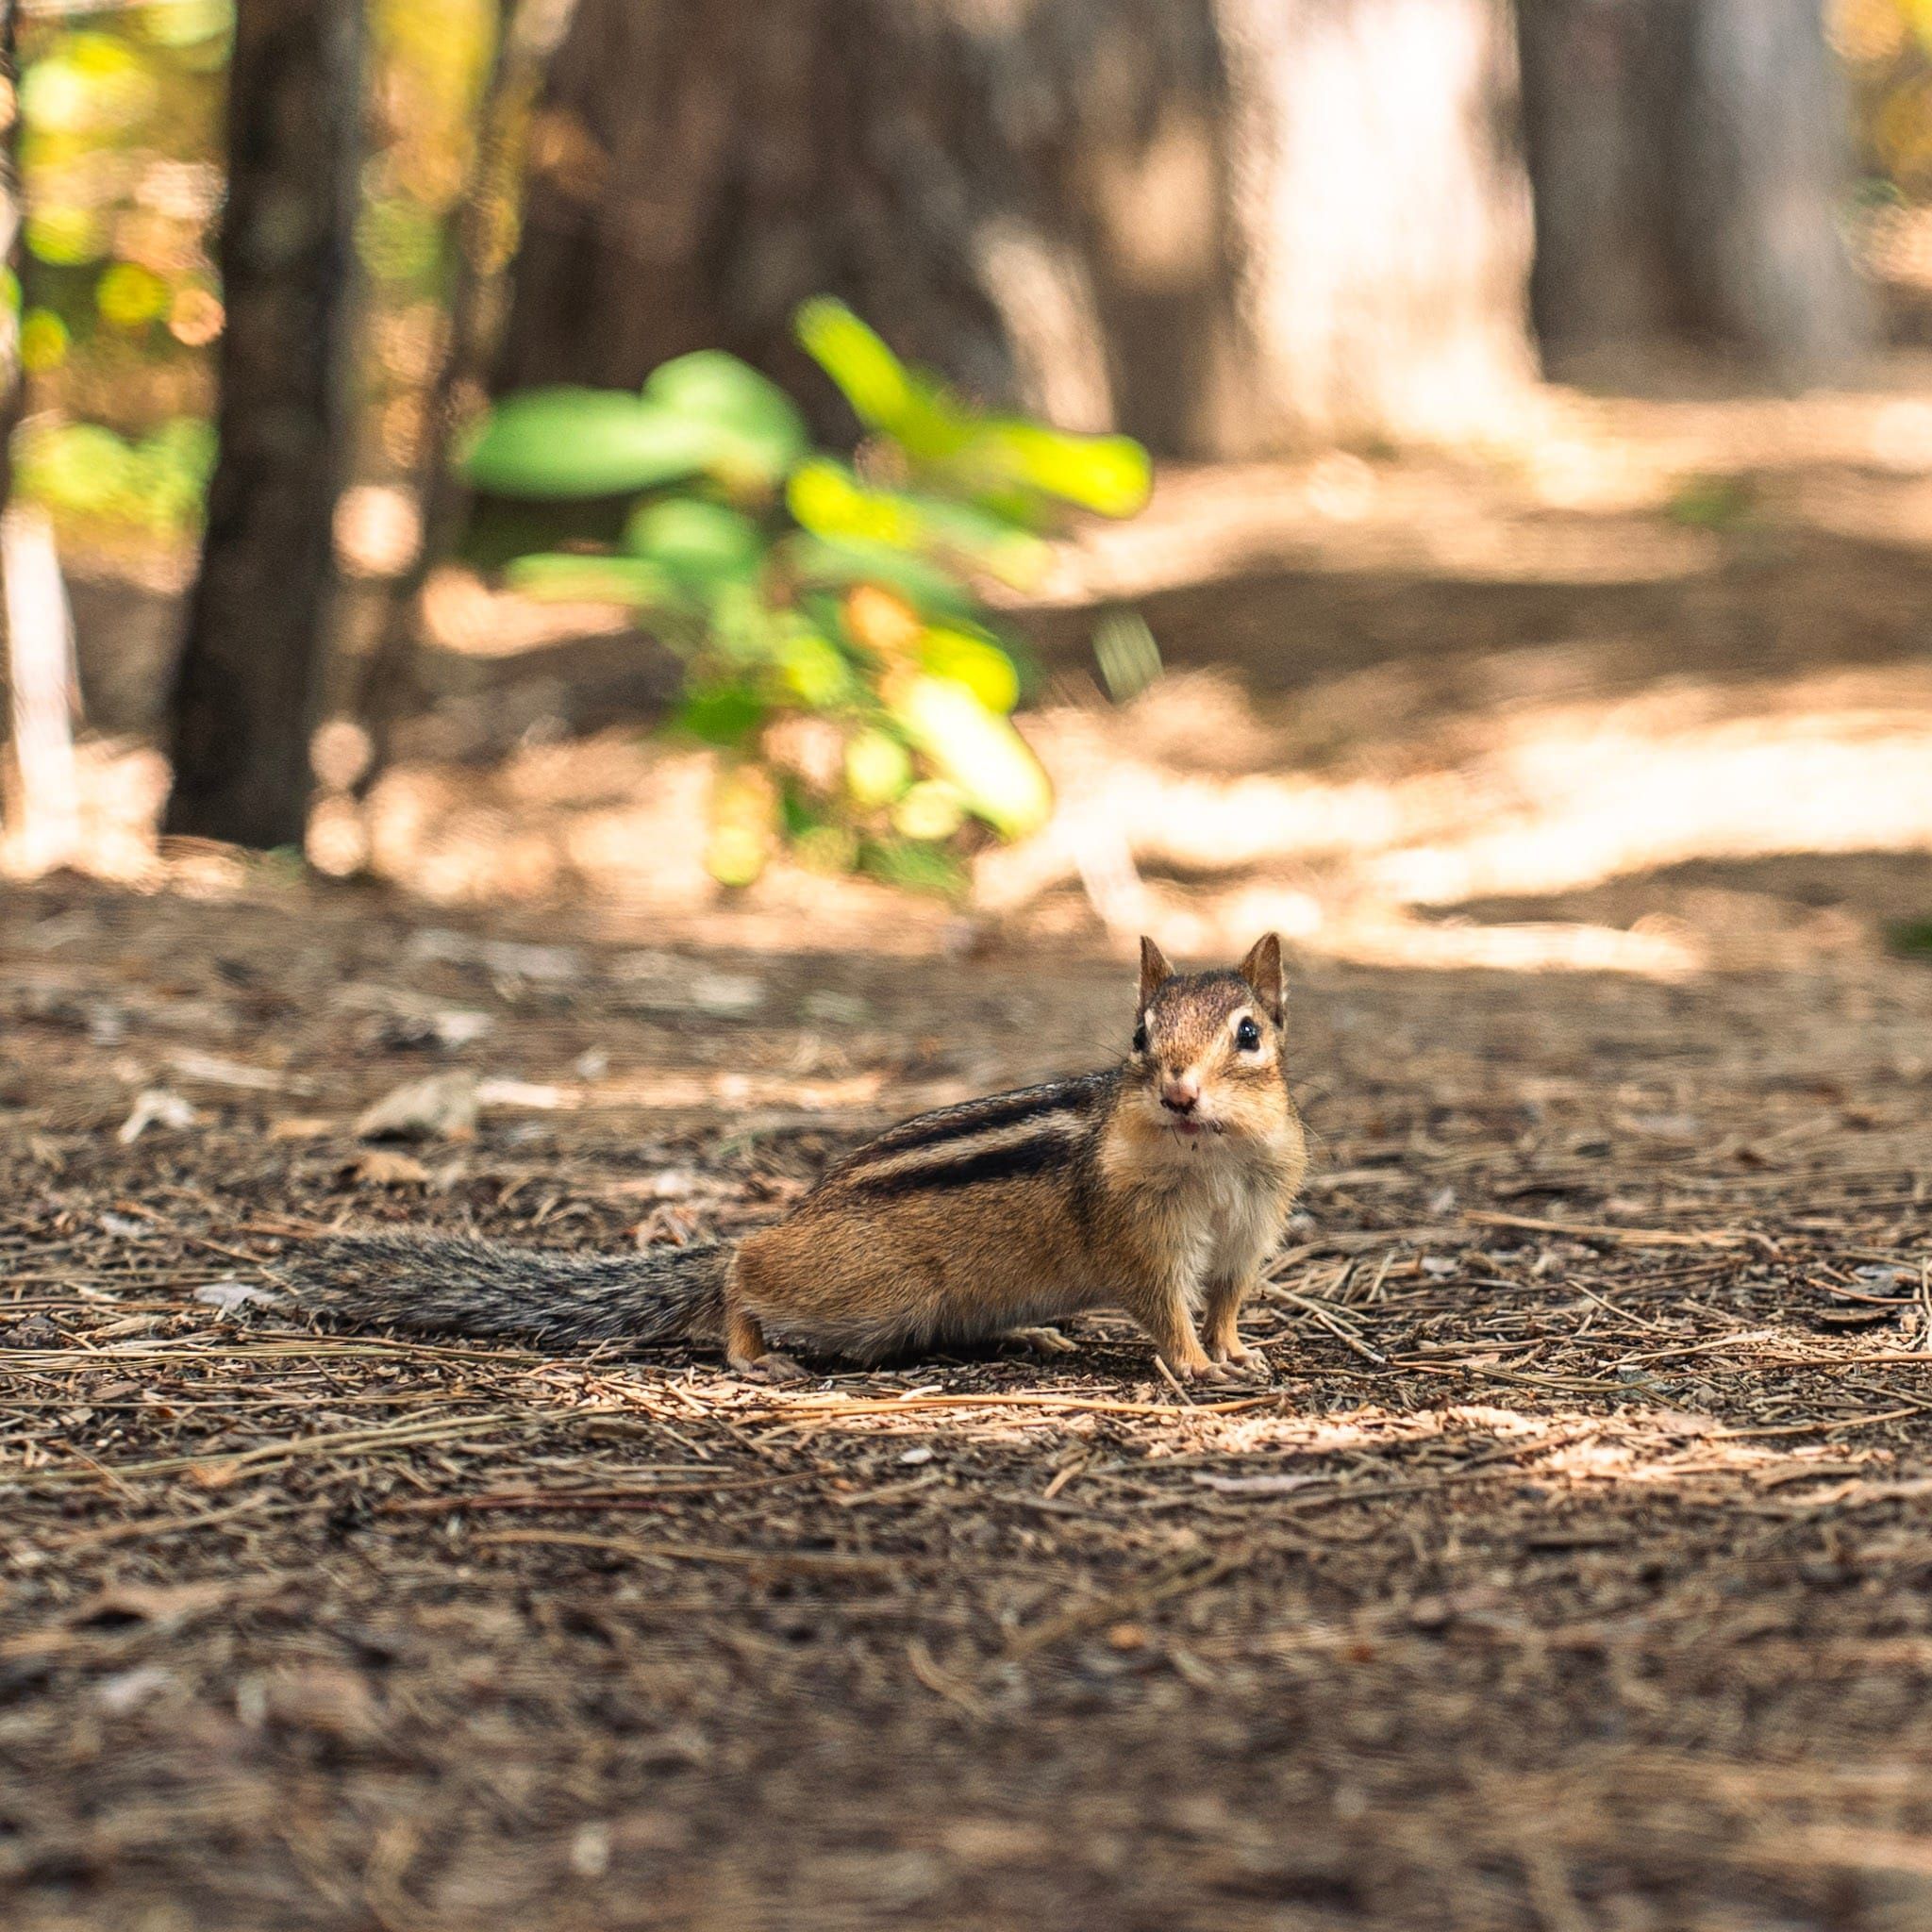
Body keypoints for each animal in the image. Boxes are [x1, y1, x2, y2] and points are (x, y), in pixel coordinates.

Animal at [287, 935, 1308, 1384]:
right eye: (1138, 1037)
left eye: (1249, 1033)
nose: (1178, 1092)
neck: (1210, 1158)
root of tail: (800, 1214)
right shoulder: (1140, 1235)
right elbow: (1163, 1307)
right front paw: (1199, 1368)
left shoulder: (1249, 1230)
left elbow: (1223, 1300)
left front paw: (1237, 1350)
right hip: (870, 1292)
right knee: (740, 1270)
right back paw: (754, 1352)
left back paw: (1032, 1334)